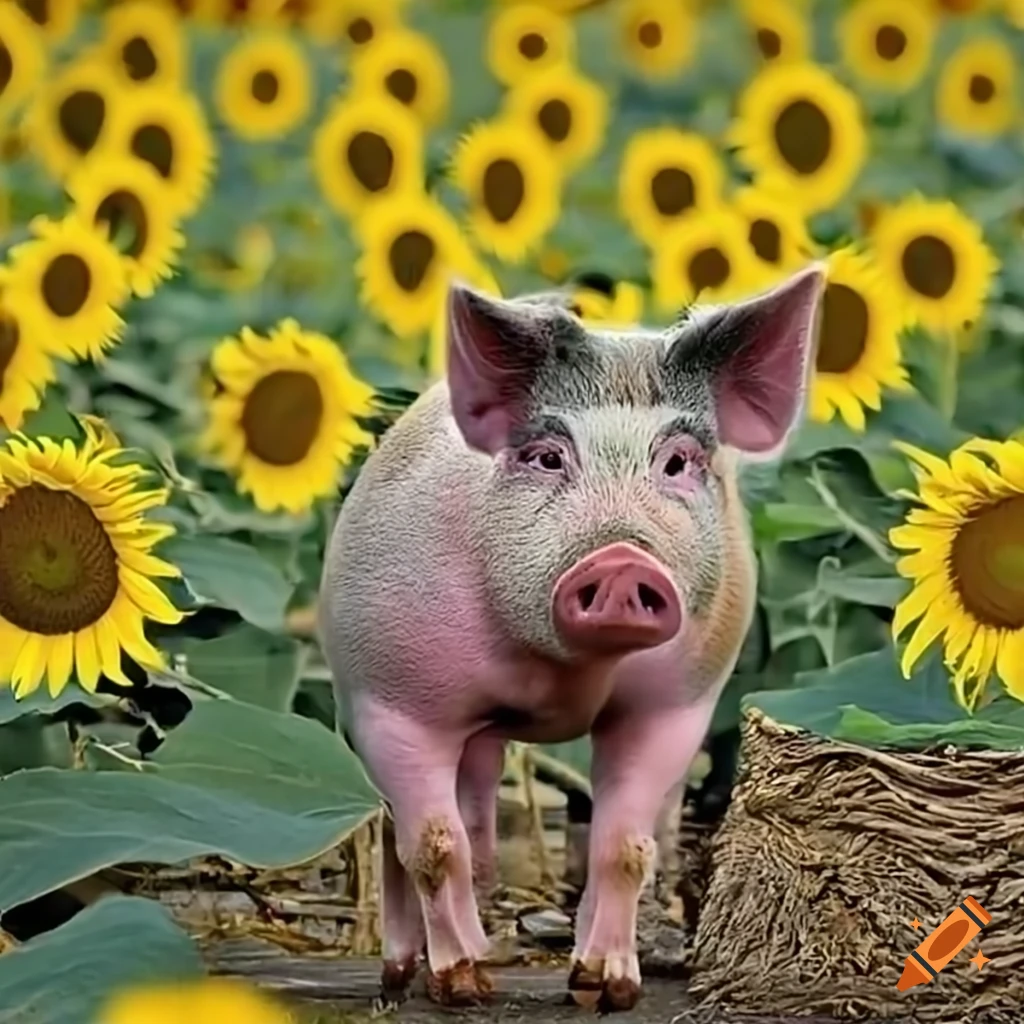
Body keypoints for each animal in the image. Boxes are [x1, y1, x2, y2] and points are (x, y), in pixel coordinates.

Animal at [319, 264, 825, 1012]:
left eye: (678, 462)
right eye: (548, 457)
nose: (619, 561)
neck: (563, 674)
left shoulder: (677, 705)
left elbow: (625, 847)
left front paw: (607, 990)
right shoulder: (392, 700)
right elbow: (434, 847)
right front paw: (464, 991)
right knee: (403, 831)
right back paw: (410, 976)